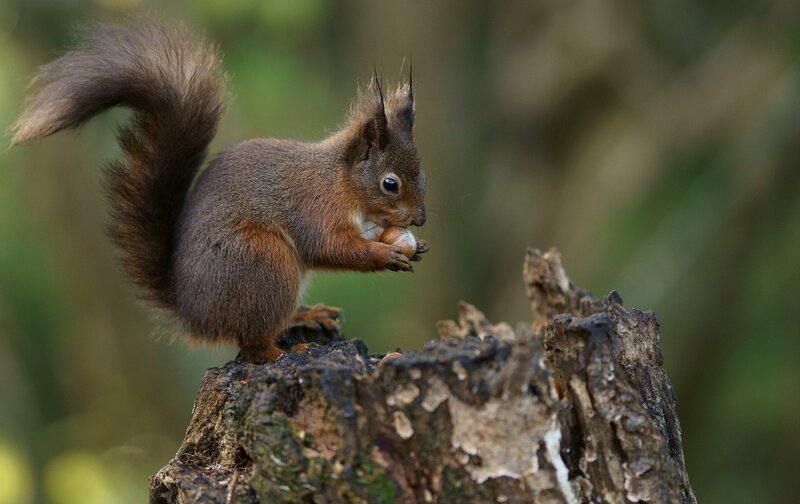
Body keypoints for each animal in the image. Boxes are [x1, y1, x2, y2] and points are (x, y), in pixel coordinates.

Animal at [10, 21, 428, 363]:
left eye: (422, 174)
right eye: (390, 184)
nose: (421, 219)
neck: (341, 181)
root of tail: (195, 313)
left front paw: (414, 245)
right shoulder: (316, 208)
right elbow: (332, 246)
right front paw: (385, 254)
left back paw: (306, 315)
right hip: (264, 261)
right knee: (253, 343)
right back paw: (283, 352)